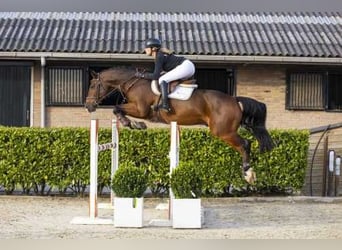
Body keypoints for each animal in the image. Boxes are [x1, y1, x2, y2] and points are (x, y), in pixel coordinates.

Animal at [85, 66, 276, 184]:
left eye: (93, 85)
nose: (88, 106)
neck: (134, 83)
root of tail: (235, 100)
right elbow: (118, 109)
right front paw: (134, 124)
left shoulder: (141, 109)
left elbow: (117, 108)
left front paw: (133, 124)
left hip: (223, 131)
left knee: (245, 144)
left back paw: (248, 173)